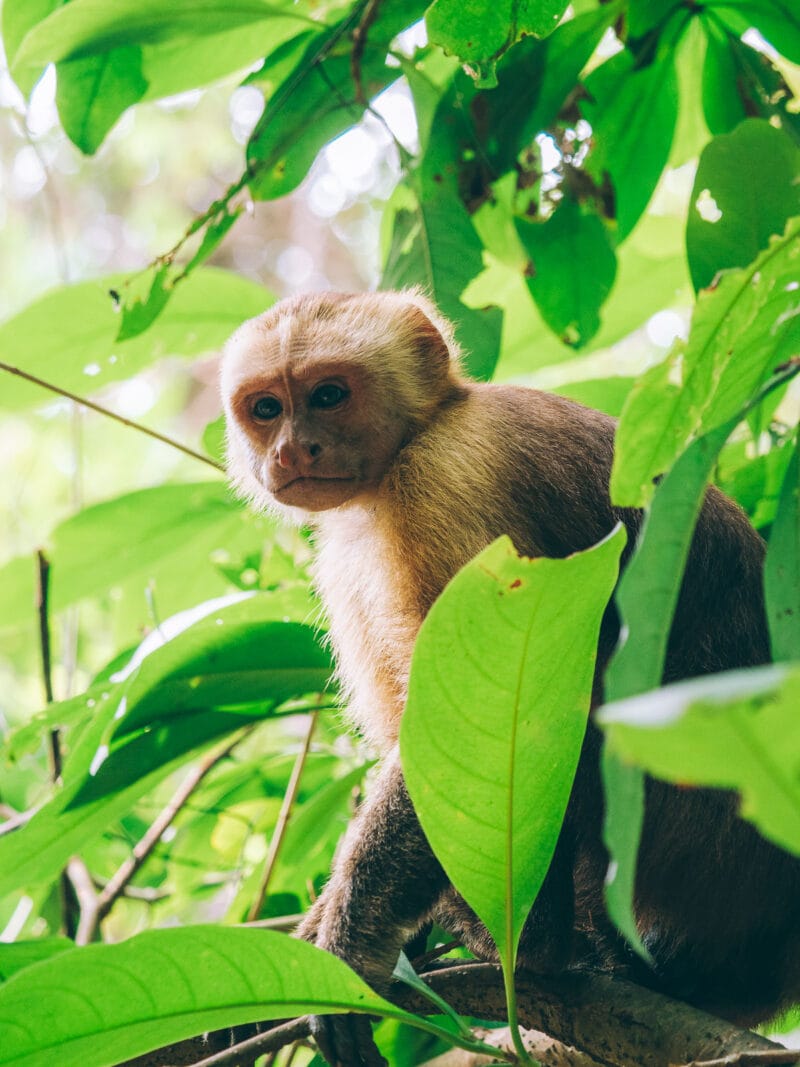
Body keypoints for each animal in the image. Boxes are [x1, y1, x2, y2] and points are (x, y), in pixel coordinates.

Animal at [221, 290, 800, 1067]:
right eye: (265, 408)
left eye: (329, 395)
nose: (290, 450)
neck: (425, 430)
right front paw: (315, 932)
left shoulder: (450, 478)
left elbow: (477, 726)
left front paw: (346, 951)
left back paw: (544, 949)